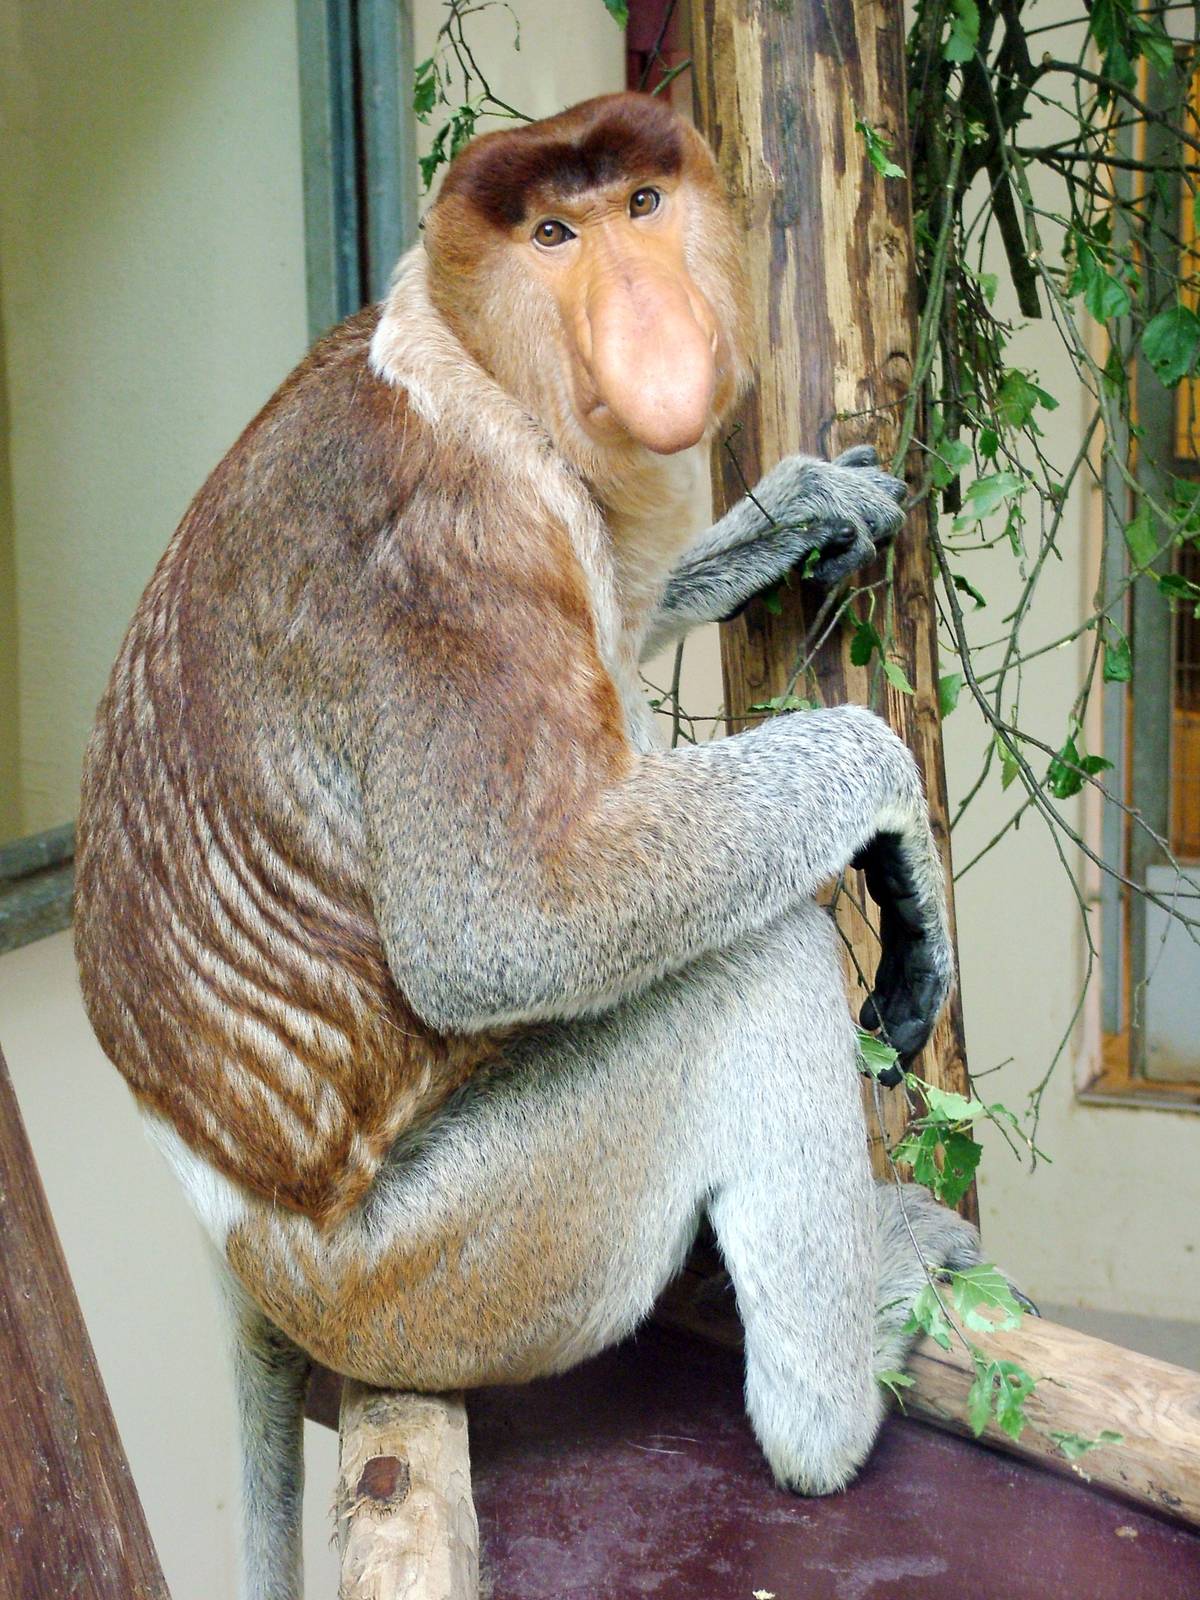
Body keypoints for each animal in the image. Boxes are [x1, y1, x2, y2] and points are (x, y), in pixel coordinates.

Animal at [73, 92, 980, 1600]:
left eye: (641, 206)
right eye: (554, 234)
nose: (649, 312)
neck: (478, 366)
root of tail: (236, 1231)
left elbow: (629, 609)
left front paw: (804, 507)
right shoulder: (454, 556)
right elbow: (506, 927)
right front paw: (891, 826)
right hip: (445, 1266)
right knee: (753, 968)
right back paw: (837, 1408)